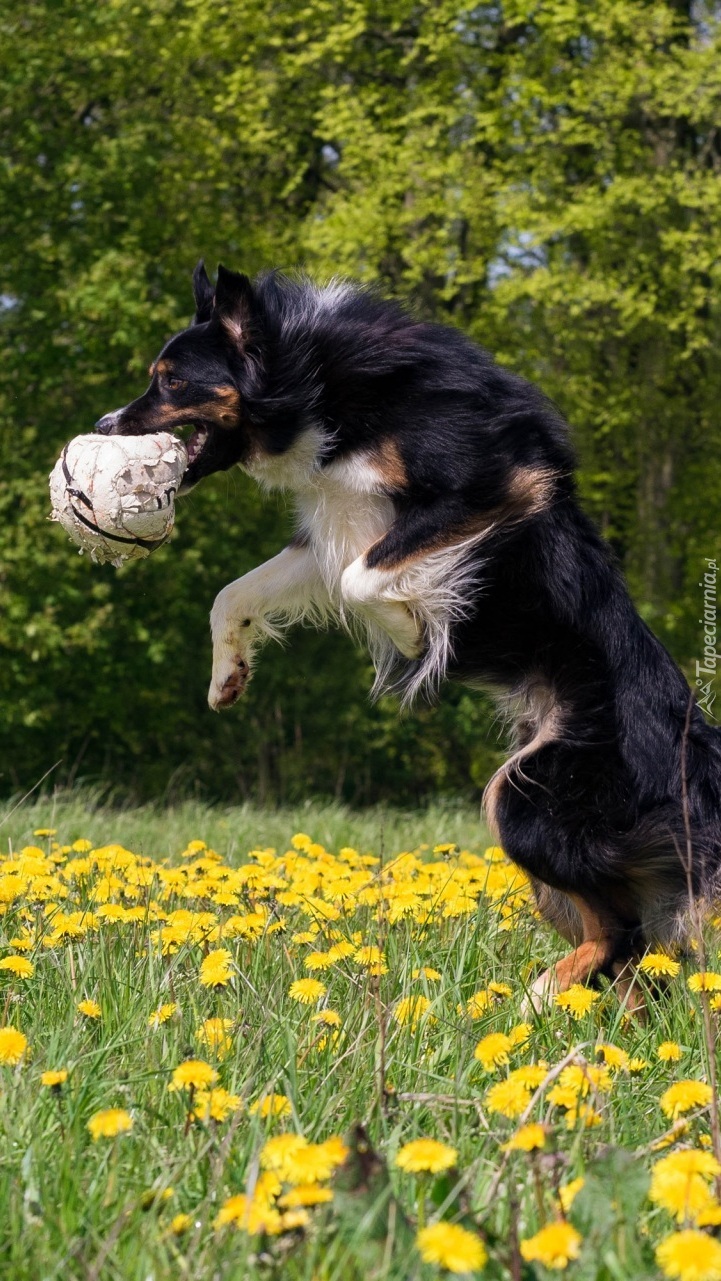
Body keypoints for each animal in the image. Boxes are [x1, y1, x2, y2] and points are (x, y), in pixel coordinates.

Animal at [97, 257, 721, 999]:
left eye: (171, 381)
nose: (104, 423)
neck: (319, 383)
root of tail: (698, 761)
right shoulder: (330, 526)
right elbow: (236, 593)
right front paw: (228, 676)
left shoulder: (491, 486)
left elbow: (361, 578)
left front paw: (412, 633)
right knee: (631, 951)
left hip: (527, 795)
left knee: (620, 930)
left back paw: (529, 1000)